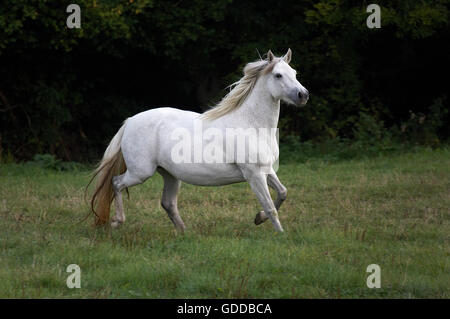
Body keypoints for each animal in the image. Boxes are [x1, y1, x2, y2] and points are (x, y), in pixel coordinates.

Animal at [89, 50, 312, 234]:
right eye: (278, 75)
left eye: (294, 72)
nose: (303, 95)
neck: (251, 124)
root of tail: (129, 122)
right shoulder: (254, 174)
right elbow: (271, 207)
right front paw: (280, 235)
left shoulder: (266, 170)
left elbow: (283, 193)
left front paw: (258, 218)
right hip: (141, 172)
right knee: (116, 183)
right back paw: (117, 221)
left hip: (170, 174)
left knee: (167, 203)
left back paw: (184, 232)